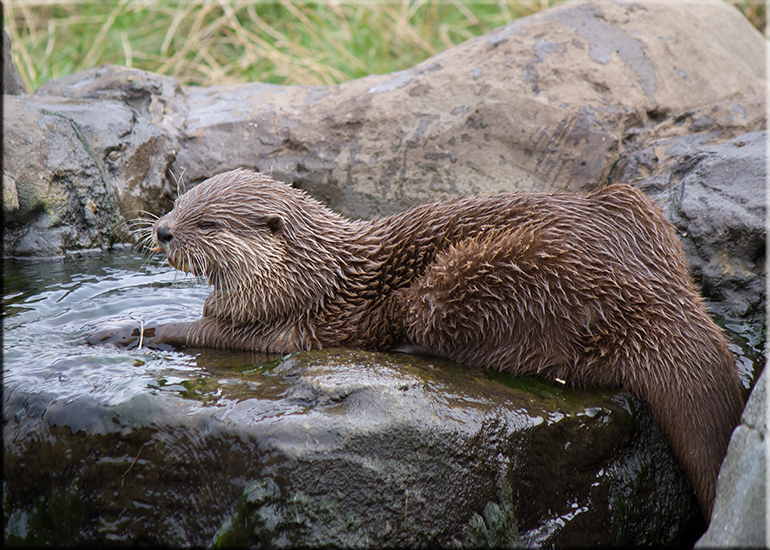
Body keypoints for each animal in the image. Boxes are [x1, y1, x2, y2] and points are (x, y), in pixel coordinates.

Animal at [112, 168, 745, 520]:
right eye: (180, 203)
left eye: (209, 225)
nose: (163, 230)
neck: (305, 277)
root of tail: (654, 293)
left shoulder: (284, 324)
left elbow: (202, 331)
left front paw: (128, 332)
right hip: (633, 202)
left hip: (481, 275)